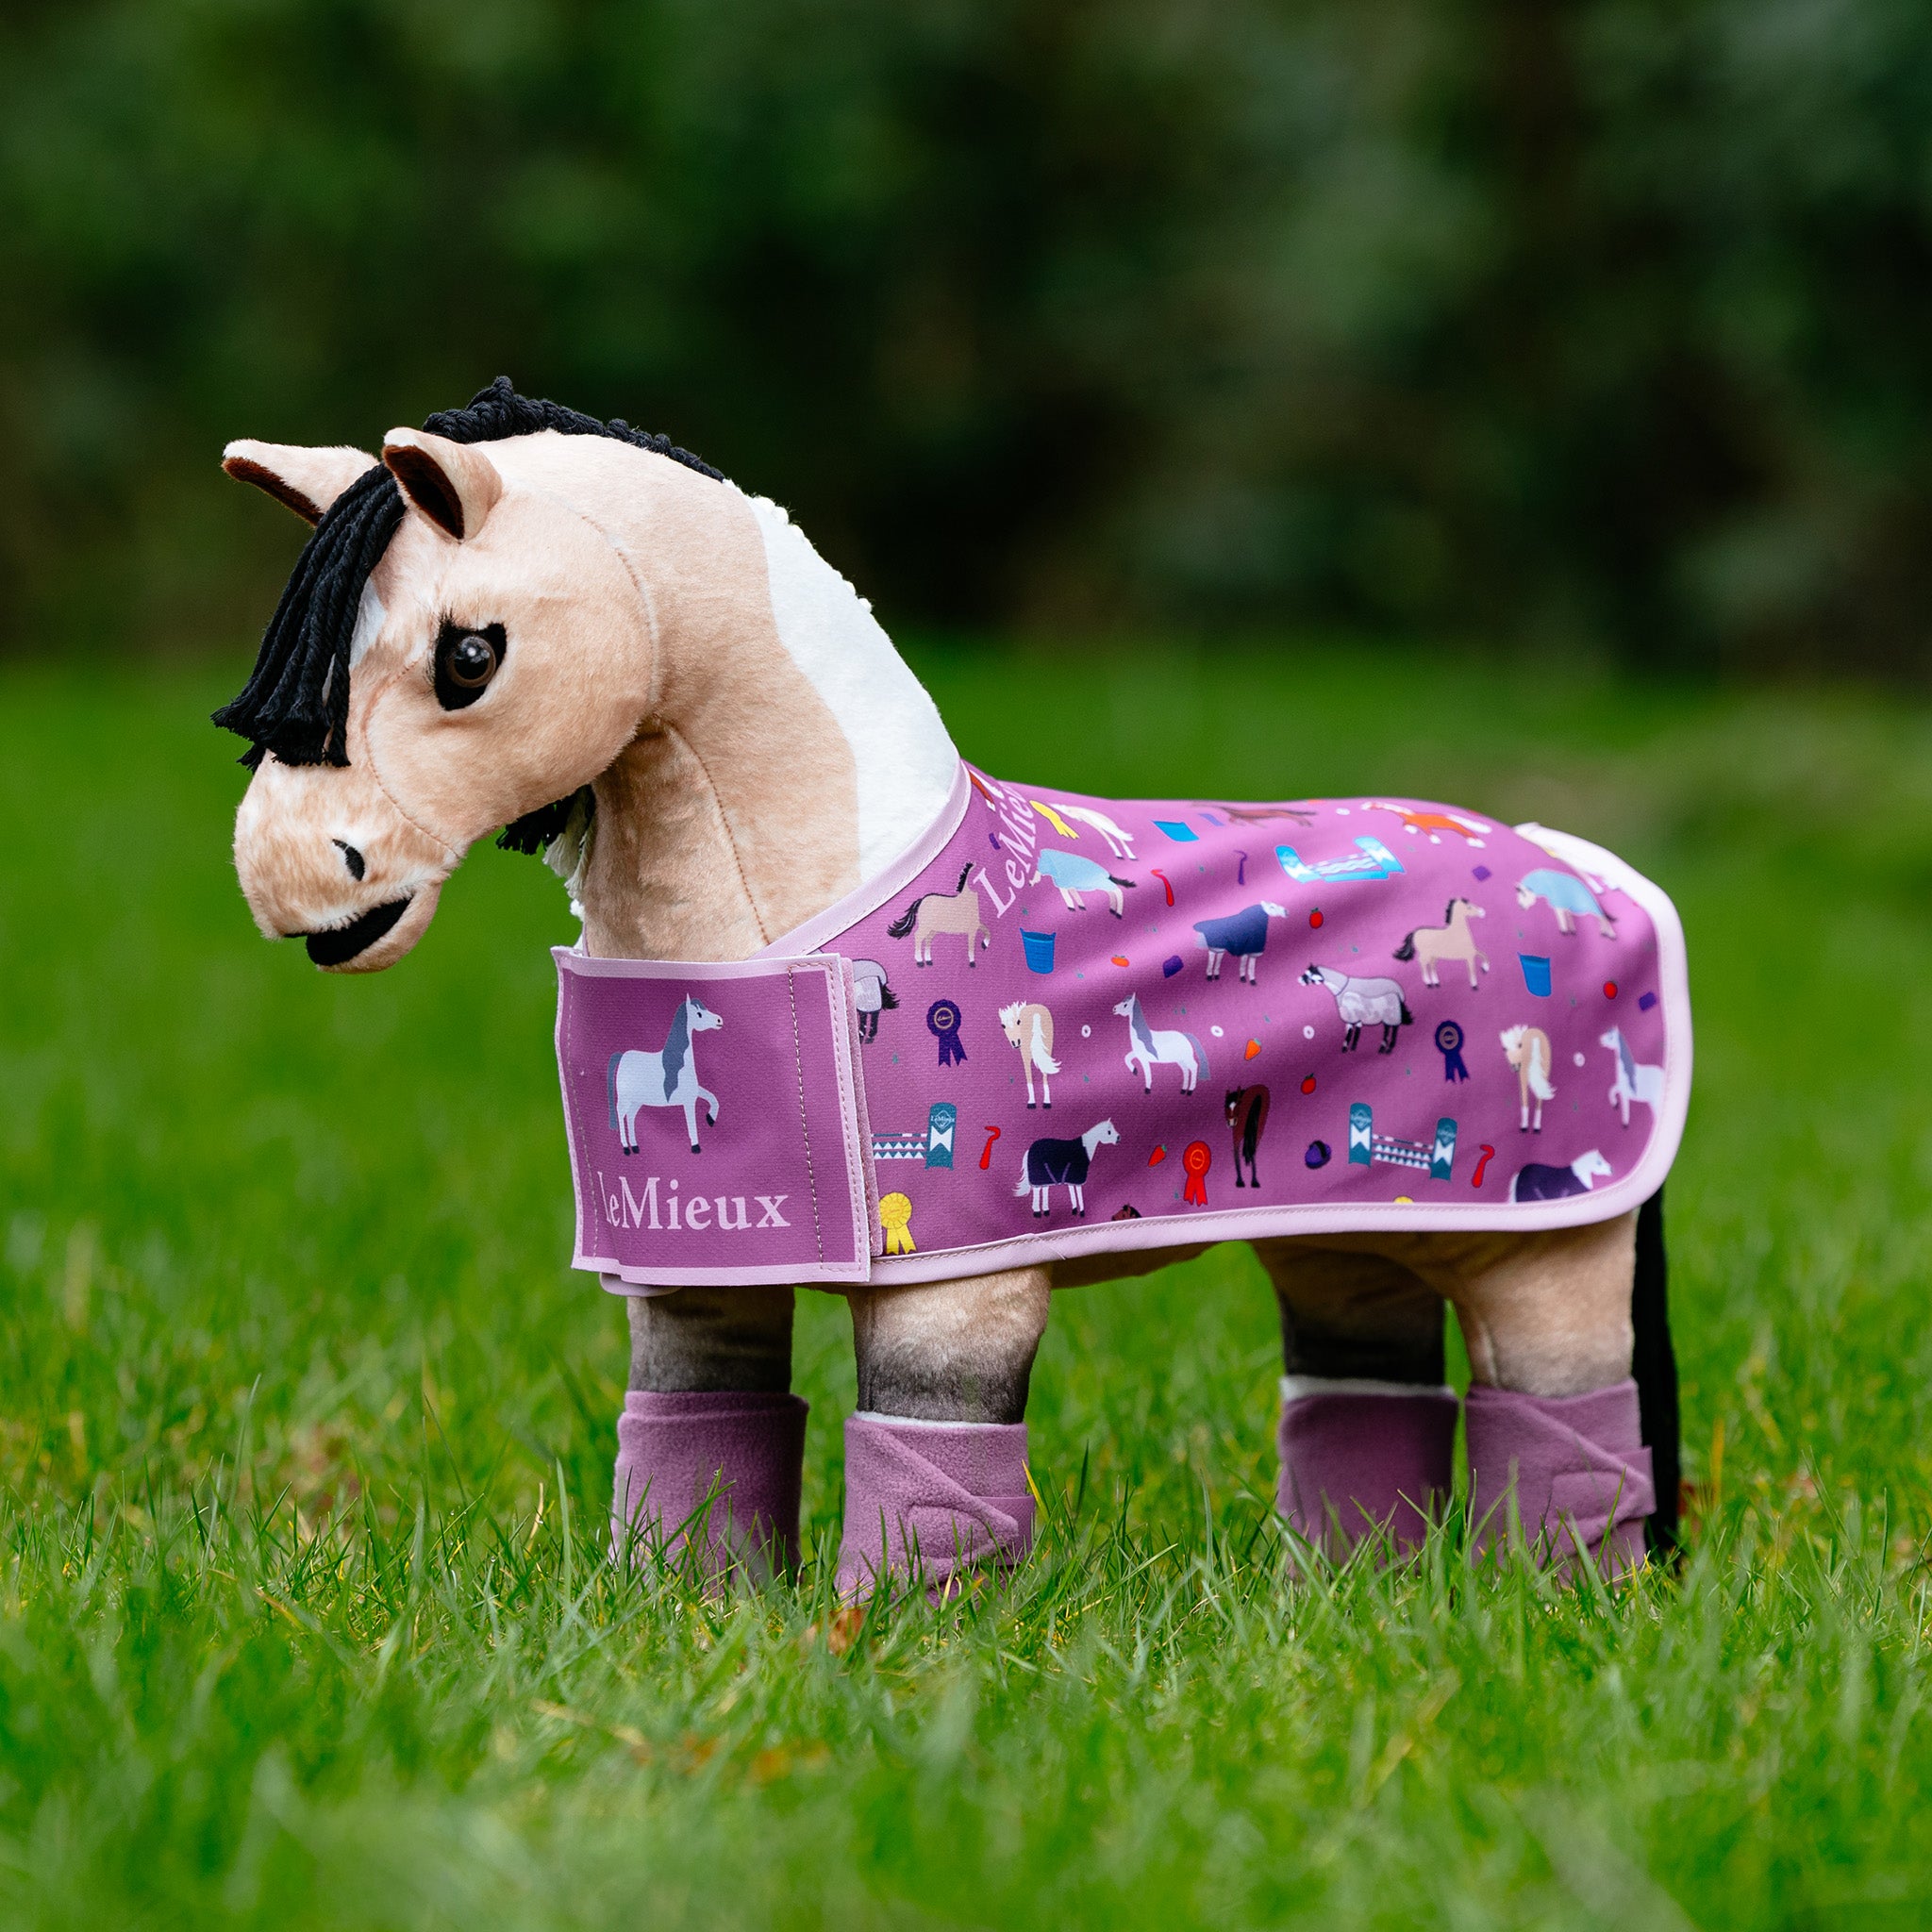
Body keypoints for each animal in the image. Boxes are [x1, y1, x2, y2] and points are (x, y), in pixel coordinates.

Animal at [608, 997, 723, 1153]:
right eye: (699, 1014)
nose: (719, 1020)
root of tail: (622, 1056)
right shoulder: (688, 1100)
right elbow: (691, 1122)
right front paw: (695, 1146)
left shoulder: (694, 1091)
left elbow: (712, 1097)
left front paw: (710, 1118)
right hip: (625, 1098)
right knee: (621, 1114)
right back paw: (626, 1148)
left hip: (637, 1100)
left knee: (631, 1116)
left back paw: (635, 1146)